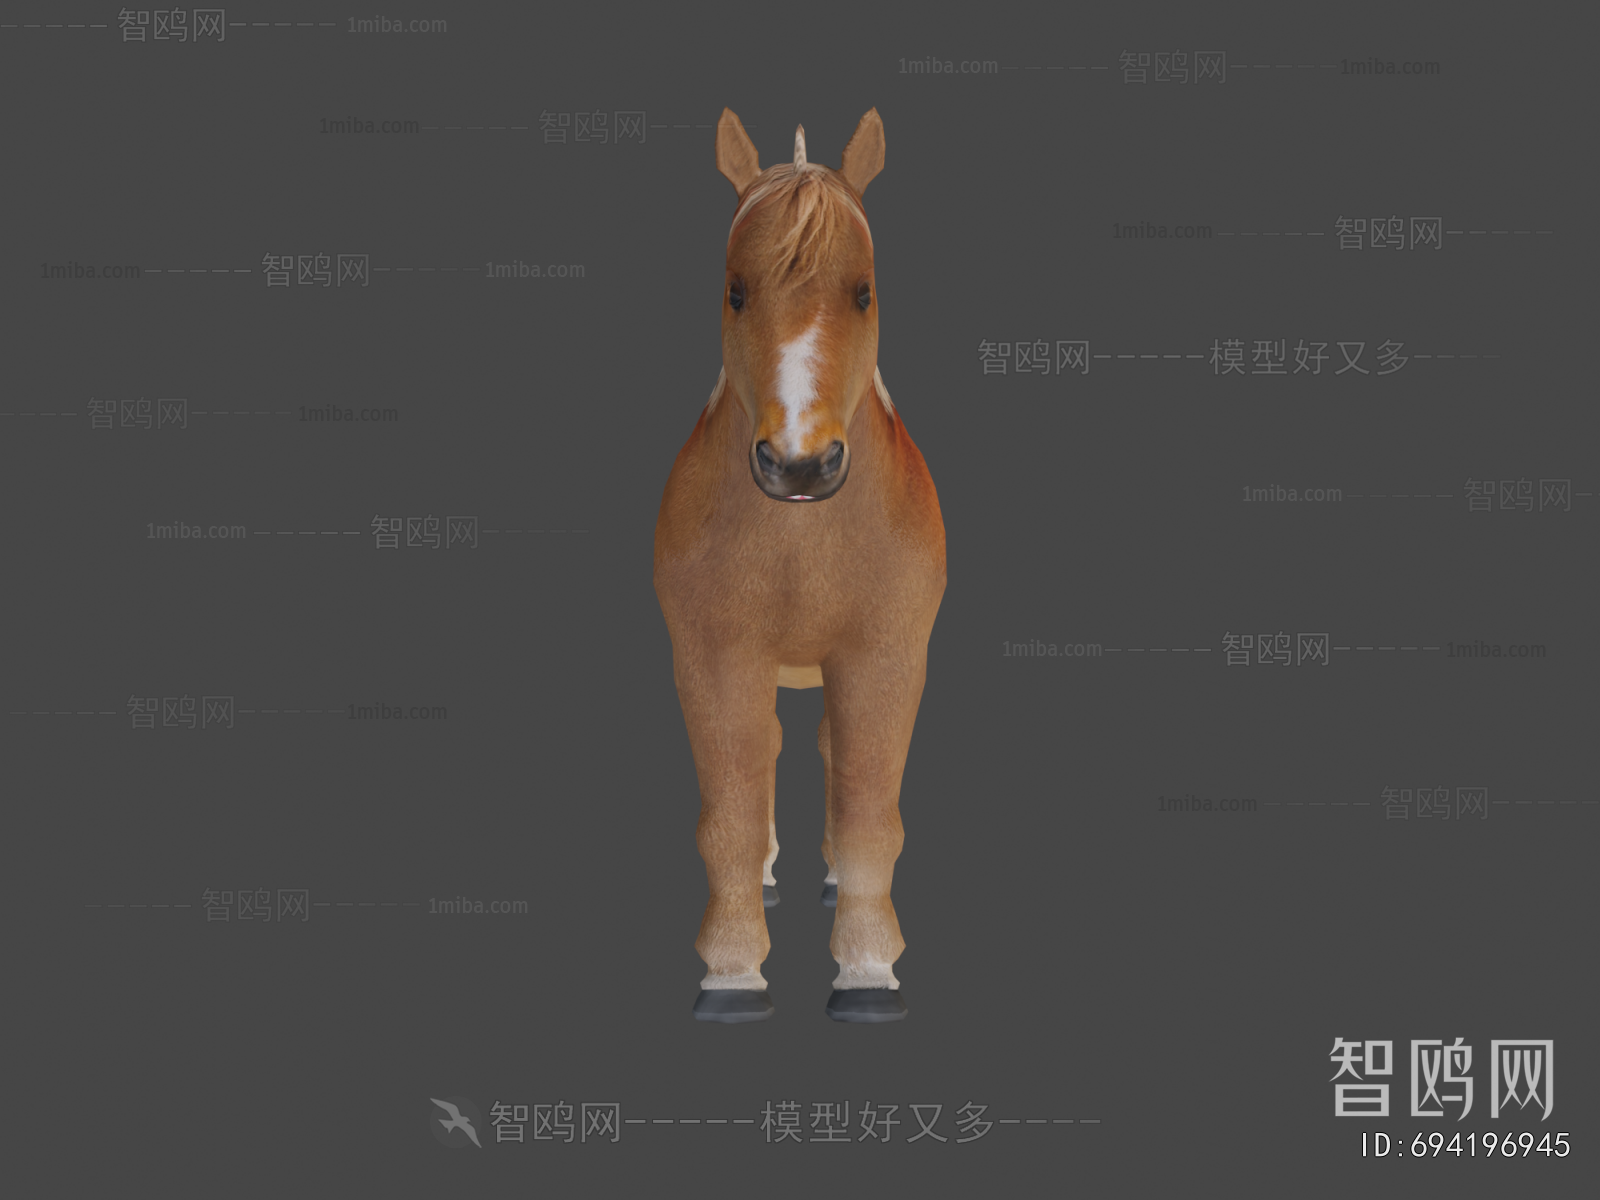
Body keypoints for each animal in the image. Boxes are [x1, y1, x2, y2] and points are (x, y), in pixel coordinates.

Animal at [653, 108, 947, 1023]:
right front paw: (732, 972)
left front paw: (867, 969)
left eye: (864, 291)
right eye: (735, 291)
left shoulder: (886, 656)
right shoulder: (712, 657)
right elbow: (731, 814)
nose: (799, 465)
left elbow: (868, 812)